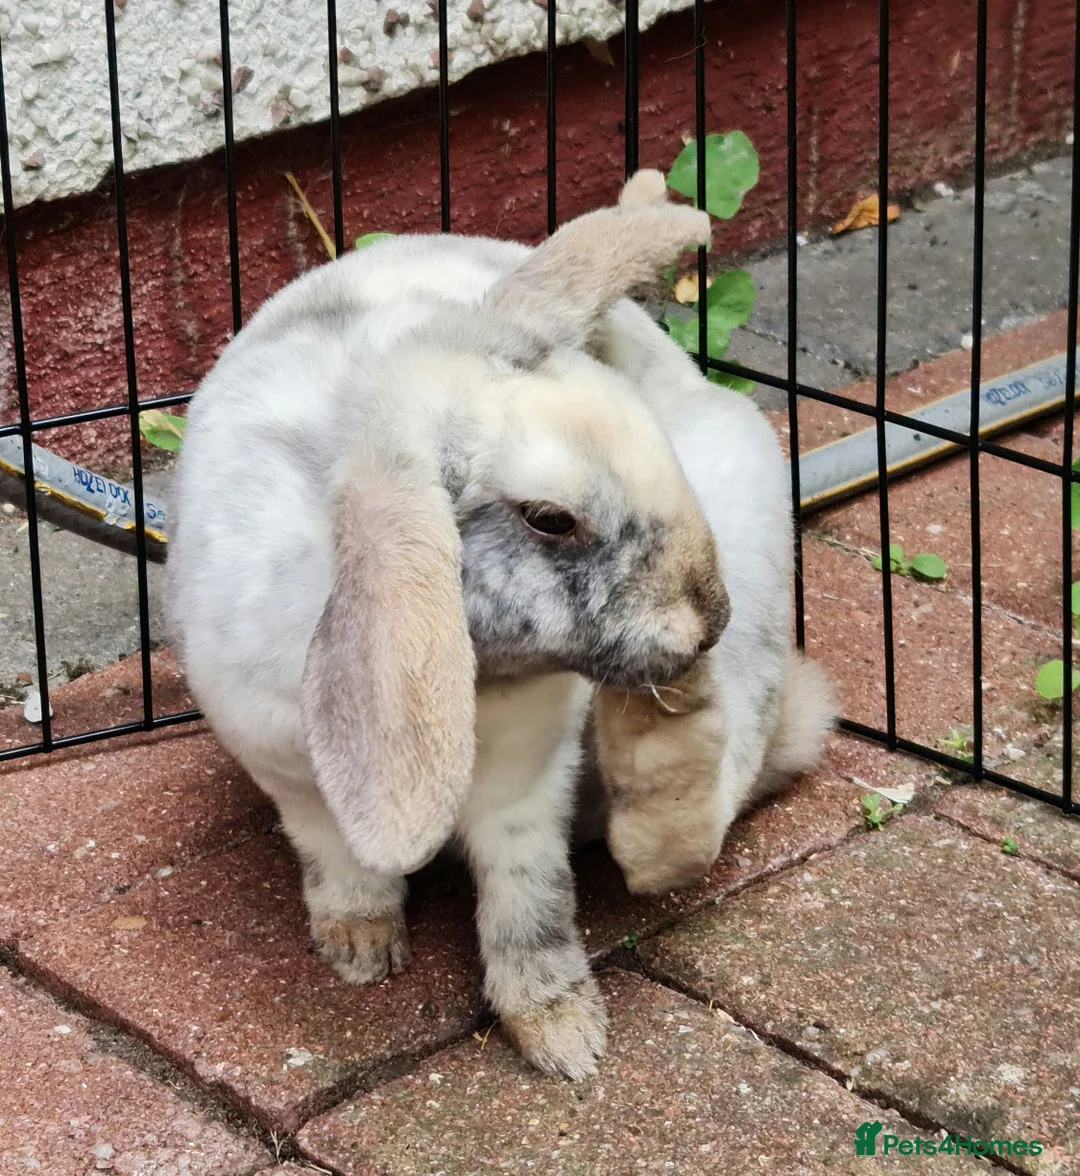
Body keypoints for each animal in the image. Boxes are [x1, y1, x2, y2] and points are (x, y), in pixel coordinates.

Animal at [167, 170, 729, 1081]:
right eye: (549, 519)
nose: (713, 618)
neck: (479, 684)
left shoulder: (530, 787)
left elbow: (530, 898)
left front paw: (564, 1035)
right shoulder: (290, 777)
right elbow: (339, 858)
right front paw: (360, 950)